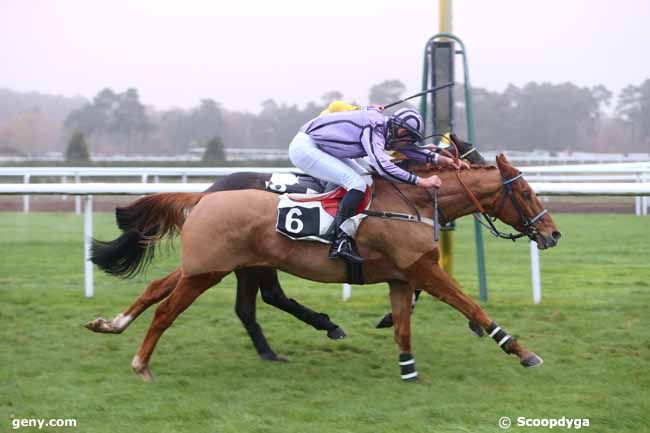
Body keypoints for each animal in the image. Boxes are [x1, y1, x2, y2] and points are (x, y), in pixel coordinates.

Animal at [90, 155, 556, 382]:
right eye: (526, 193)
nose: (552, 234)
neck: (414, 202)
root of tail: (204, 197)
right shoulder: (423, 270)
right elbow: (472, 307)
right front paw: (523, 352)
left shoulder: (402, 277)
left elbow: (404, 327)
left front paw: (408, 370)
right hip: (211, 270)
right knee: (170, 311)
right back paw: (141, 364)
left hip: (212, 265)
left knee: (159, 287)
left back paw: (110, 324)